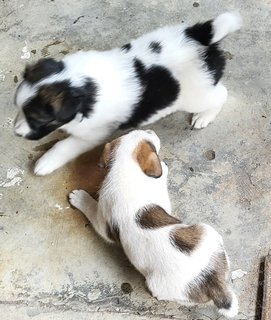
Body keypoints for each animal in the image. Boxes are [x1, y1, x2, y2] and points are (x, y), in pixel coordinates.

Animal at [13, 11, 242, 175]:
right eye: (18, 109)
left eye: (38, 120)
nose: (16, 133)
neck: (82, 84)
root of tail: (200, 36)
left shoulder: (94, 133)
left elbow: (66, 145)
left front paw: (46, 161)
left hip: (195, 93)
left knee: (221, 94)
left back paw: (204, 117)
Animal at [69, 130, 238, 318]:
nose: (151, 130)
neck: (128, 169)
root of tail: (211, 280)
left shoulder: (102, 222)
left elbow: (91, 208)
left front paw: (80, 198)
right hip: (207, 231)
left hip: (158, 286)